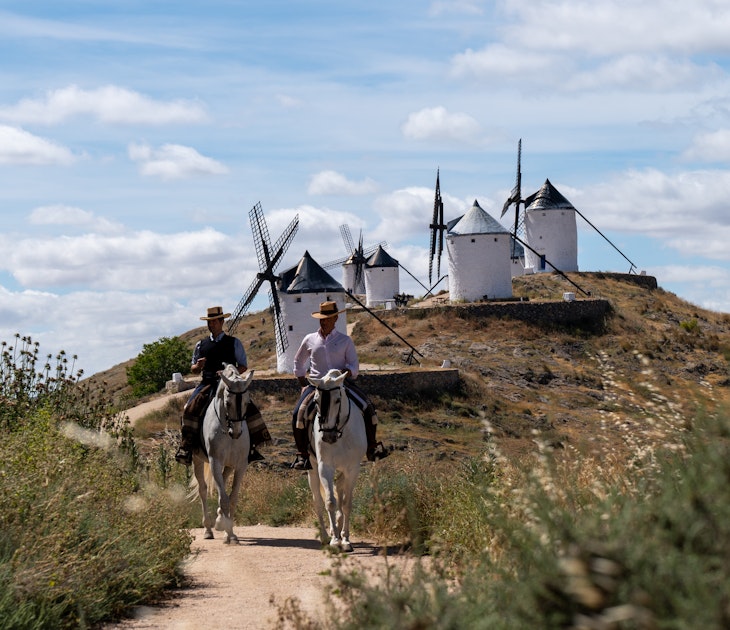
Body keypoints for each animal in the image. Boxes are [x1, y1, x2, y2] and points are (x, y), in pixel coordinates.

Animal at [191, 362, 253, 544]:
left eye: (247, 402)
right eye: (228, 402)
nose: (236, 432)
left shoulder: (240, 465)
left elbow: (232, 498)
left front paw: (230, 533)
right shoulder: (215, 462)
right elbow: (223, 499)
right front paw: (226, 530)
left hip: (229, 465)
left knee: (222, 484)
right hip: (197, 460)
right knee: (203, 490)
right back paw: (208, 529)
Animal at [304, 370, 366, 552]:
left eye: (338, 400)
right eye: (316, 401)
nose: (328, 436)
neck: (341, 434)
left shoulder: (352, 469)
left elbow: (346, 504)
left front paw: (345, 539)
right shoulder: (325, 467)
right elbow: (330, 502)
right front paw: (335, 540)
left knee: (339, 490)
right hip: (312, 470)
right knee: (318, 501)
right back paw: (326, 535)